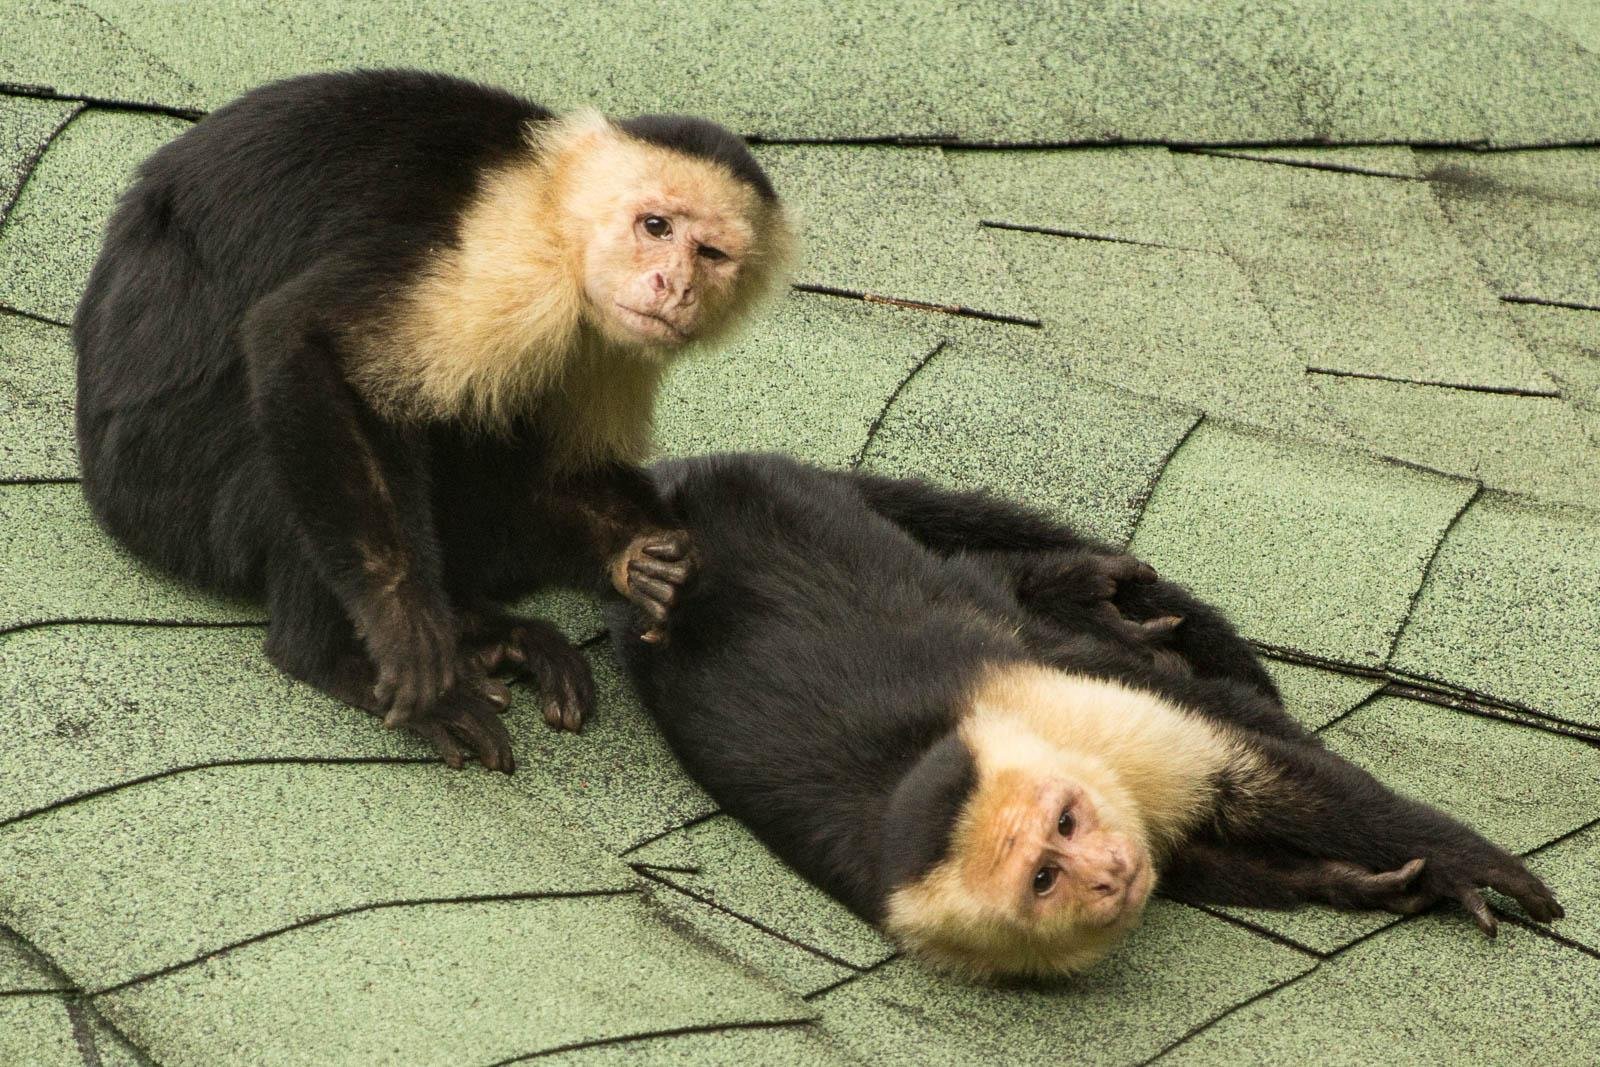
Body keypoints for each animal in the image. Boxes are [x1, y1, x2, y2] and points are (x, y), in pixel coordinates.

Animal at [73, 70, 794, 773]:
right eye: (655, 226)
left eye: (710, 253)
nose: (675, 285)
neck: (560, 220)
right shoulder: (508, 259)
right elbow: (303, 339)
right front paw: (401, 623)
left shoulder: (610, 341)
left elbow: (562, 470)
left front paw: (646, 562)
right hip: (167, 482)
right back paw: (334, 655)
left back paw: (488, 632)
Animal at [608, 453, 1563, 978]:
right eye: (1043, 876)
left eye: (1067, 822)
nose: (1105, 873)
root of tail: (676, 484)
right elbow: (1206, 857)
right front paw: (1355, 883)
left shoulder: (1085, 718)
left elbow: (1262, 773)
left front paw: (1460, 863)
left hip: (791, 503)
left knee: (975, 579)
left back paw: (1072, 591)